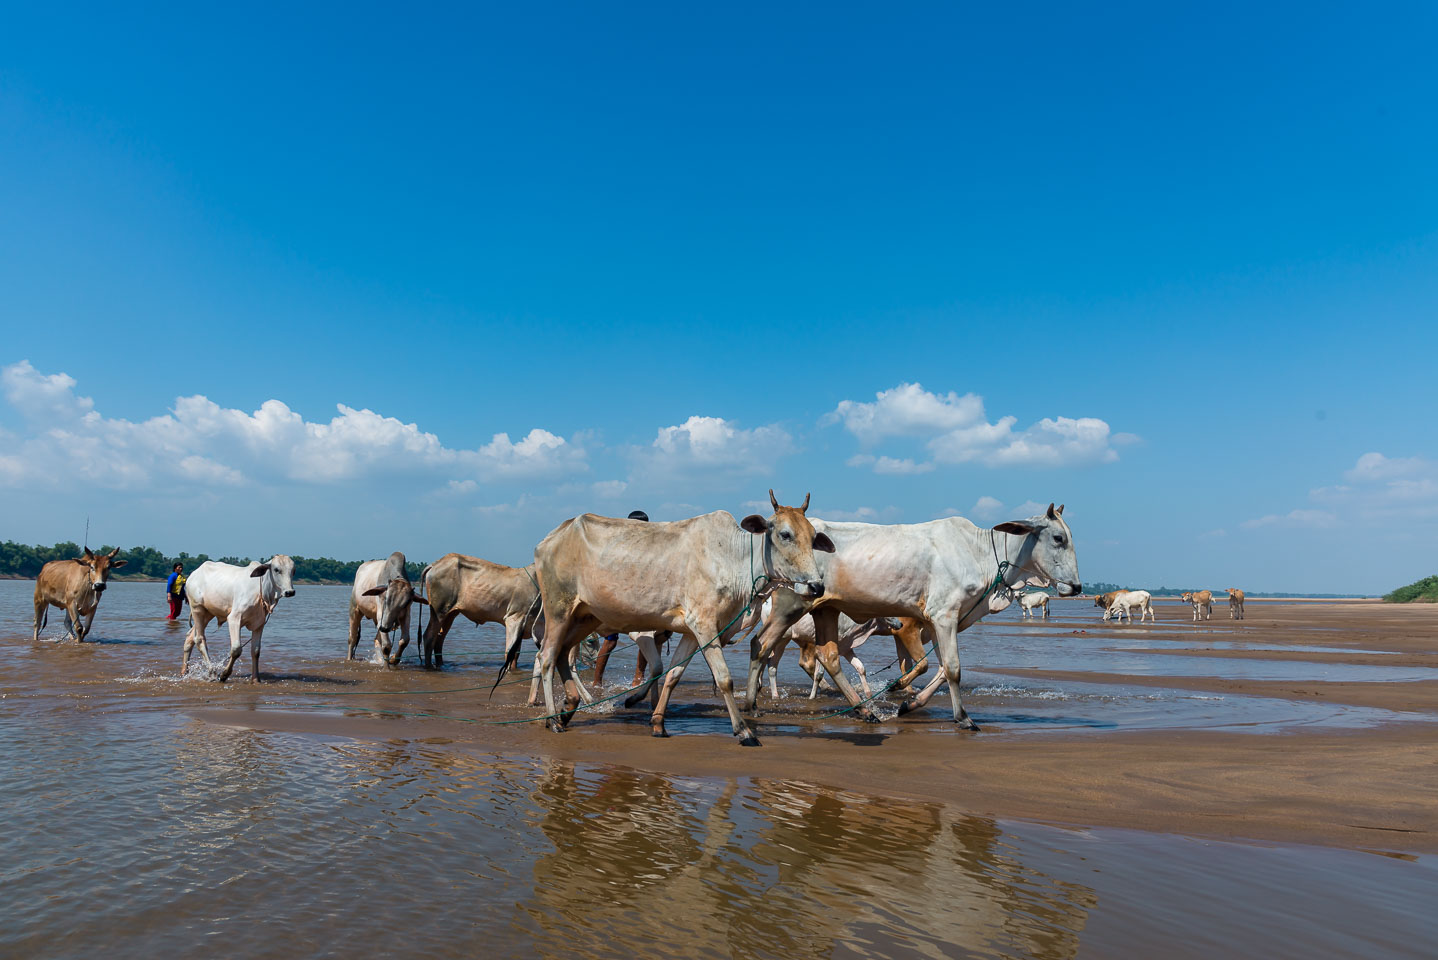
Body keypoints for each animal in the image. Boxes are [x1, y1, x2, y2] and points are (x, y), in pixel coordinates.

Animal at [529, 491, 834, 747]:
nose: (817, 586)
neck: (734, 558)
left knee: (562, 654)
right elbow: (723, 679)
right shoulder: (704, 626)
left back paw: (569, 708)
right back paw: (553, 719)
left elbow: (673, 675)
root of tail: (550, 538)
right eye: (785, 534)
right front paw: (744, 731)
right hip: (558, 609)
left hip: (586, 616)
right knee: (547, 657)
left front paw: (657, 723)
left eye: (812, 537)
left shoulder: (691, 631)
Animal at [753, 502, 1081, 727]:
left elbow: (940, 668)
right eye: (1058, 538)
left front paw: (909, 704)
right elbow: (952, 668)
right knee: (762, 644)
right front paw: (963, 717)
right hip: (790, 606)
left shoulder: (940, 621)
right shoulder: (944, 615)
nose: (1077, 586)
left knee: (827, 656)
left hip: (826, 609)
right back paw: (751, 704)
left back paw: (865, 710)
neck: (980, 553)